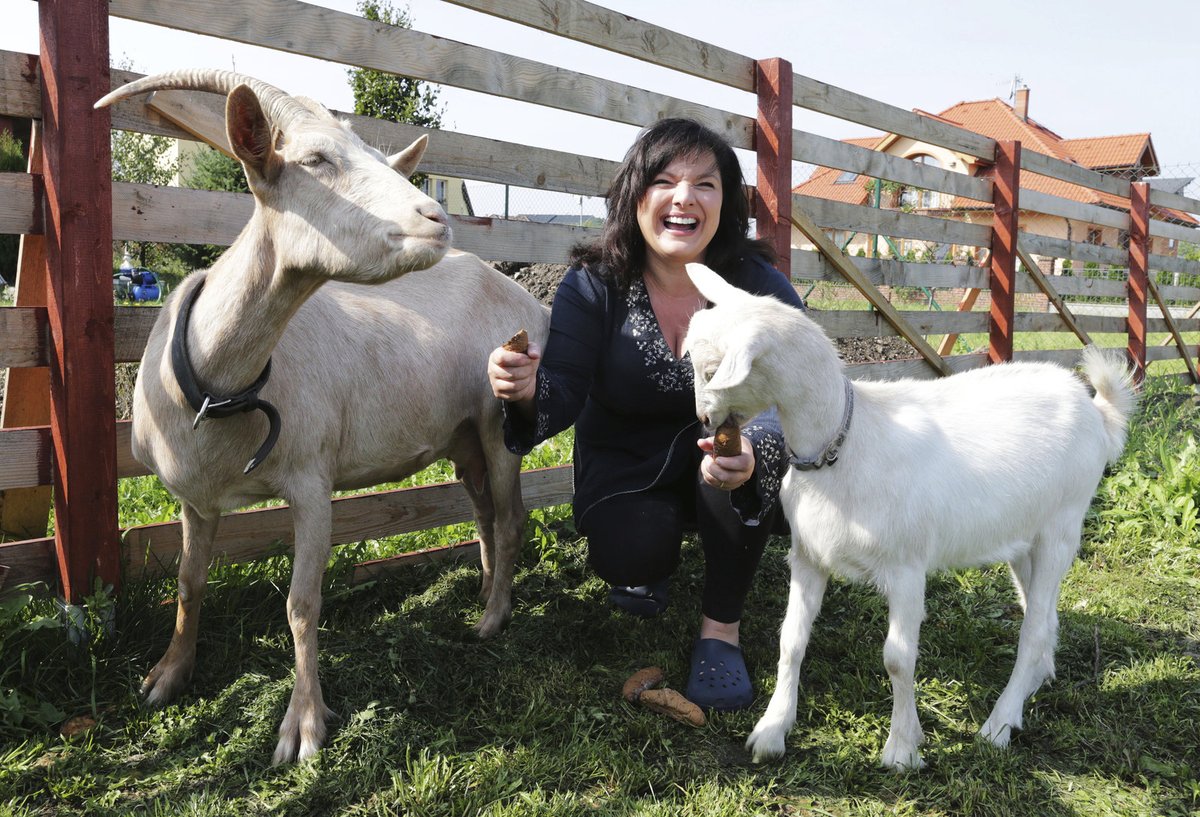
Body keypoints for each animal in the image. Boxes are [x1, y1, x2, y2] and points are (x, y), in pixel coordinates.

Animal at [98, 71, 549, 763]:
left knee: (511, 515)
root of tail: (530, 301)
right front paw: (167, 676)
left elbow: (302, 604)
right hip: (463, 435)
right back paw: (483, 587)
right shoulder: (193, 498)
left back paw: (493, 617)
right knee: (481, 509)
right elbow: (188, 582)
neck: (215, 384)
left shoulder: (310, 480)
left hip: (501, 419)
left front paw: (303, 725)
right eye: (315, 160)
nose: (436, 219)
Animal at [686, 262, 1132, 772]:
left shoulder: (905, 566)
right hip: (1025, 537)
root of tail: (1099, 412)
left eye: (713, 370)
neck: (844, 444)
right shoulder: (808, 557)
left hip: (1063, 525)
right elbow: (791, 641)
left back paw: (998, 725)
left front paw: (902, 747)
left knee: (1035, 629)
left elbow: (897, 658)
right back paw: (1031, 690)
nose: (704, 420)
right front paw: (771, 730)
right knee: (1045, 616)